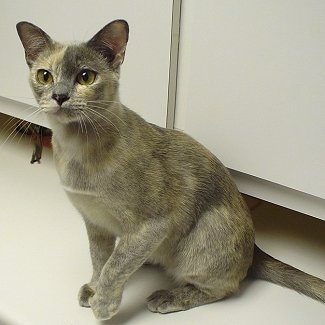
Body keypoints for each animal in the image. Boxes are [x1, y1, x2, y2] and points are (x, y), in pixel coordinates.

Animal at [16, 19, 324, 318]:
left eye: (85, 77)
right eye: (45, 76)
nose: (59, 96)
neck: (75, 149)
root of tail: (256, 247)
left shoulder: (151, 225)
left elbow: (115, 266)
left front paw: (102, 305)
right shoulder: (95, 223)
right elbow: (100, 260)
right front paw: (92, 289)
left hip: (199, 240)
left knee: (225, 287)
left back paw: (165, 297)